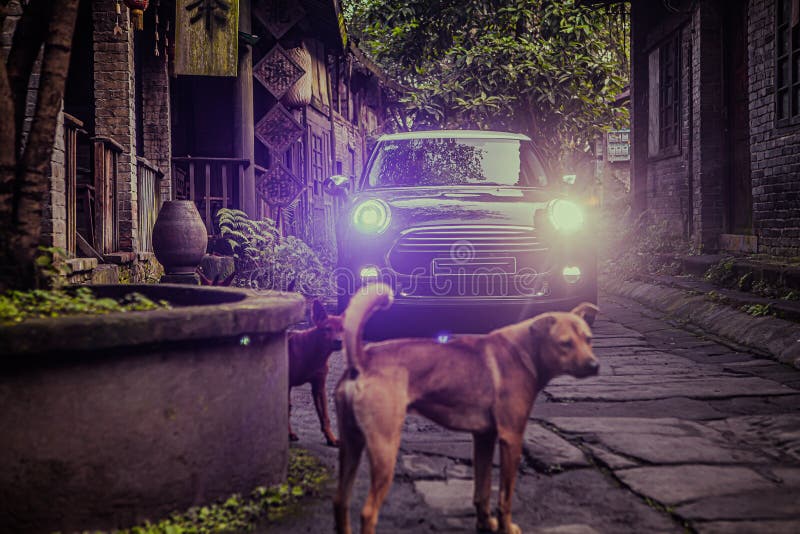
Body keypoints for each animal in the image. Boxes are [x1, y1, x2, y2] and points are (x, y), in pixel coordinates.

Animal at [288, 302, 344, 448]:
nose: (339, 341)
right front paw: (289, 434)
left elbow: (325, 416)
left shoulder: (319, 387)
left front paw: (331, 438)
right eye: (327, 328)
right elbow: (287, 409)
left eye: (342, 329)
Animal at [332, 284, 600, 534]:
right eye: (565, 344)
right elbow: (505, 497)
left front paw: (485, 524)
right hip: (384, 449)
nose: (594, 365)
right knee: (368, 513)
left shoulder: (484, 438)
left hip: (350, 447)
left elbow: (482, 490)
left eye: (589, 339)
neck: (524, 351)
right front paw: (506, 527)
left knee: (340, 502)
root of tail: (362, 360)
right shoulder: (511, 438)